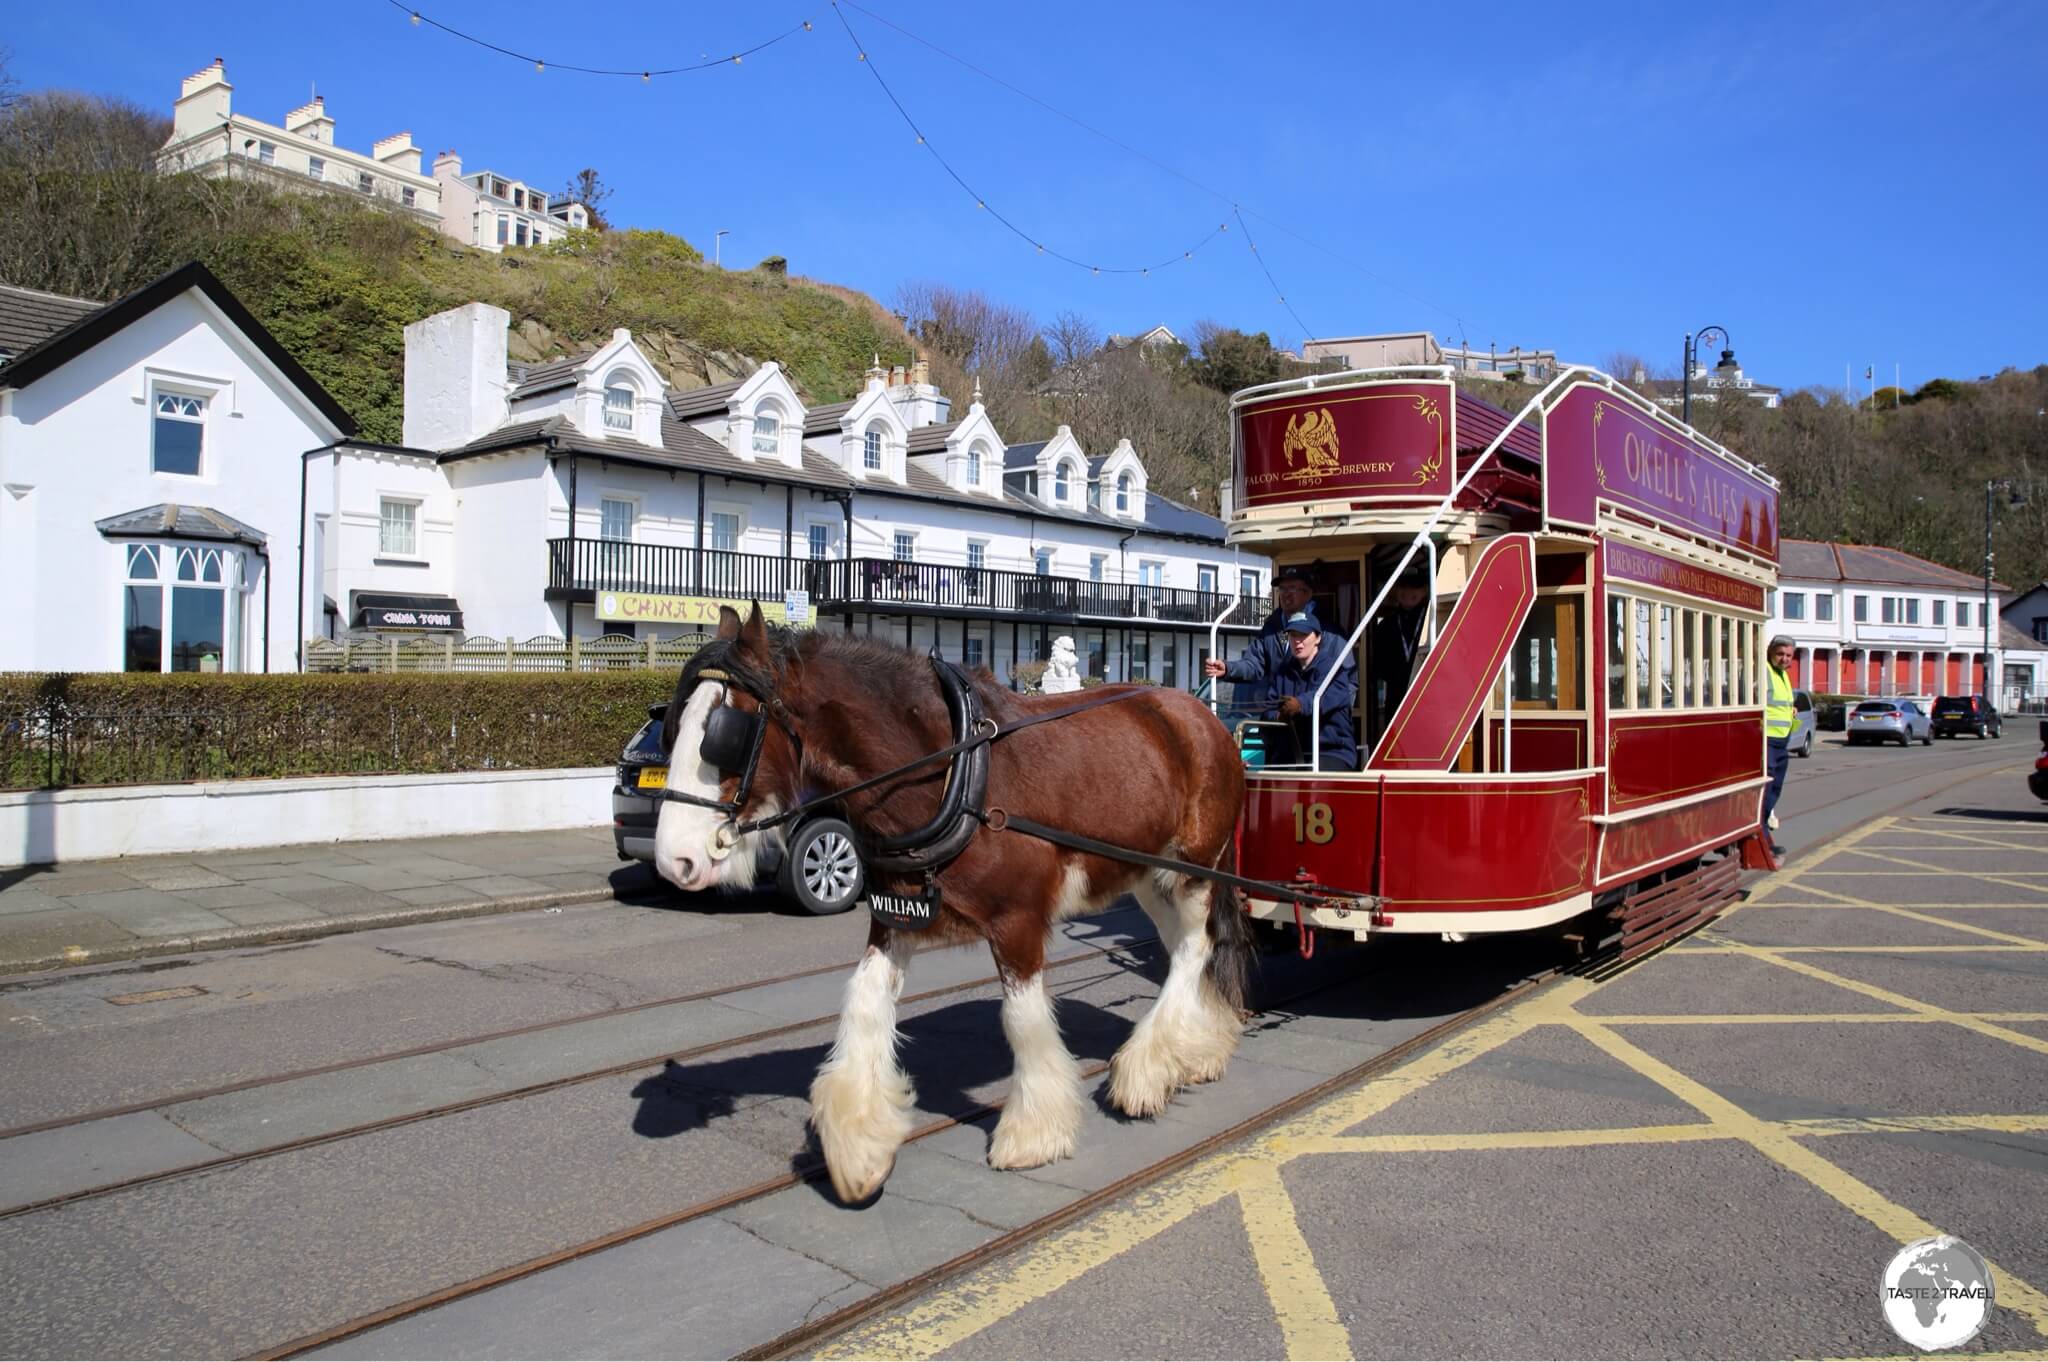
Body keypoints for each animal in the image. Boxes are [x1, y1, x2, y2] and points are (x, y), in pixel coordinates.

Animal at [655, 606, 1253, 1204]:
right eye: (671, 728)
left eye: (722, 735)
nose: (673, 860)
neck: (951, 773)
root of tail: (1195, 711)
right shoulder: (894, 919)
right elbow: (864, 1002)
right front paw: (858, 1147)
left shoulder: (1018, 921)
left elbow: (1022, 1018)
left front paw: (1033, 1132)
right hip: (1150, 875)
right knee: (1187, 948)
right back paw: (1195, 1051)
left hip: (1194, 868)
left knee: (1195, 948)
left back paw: (1146, 1070)